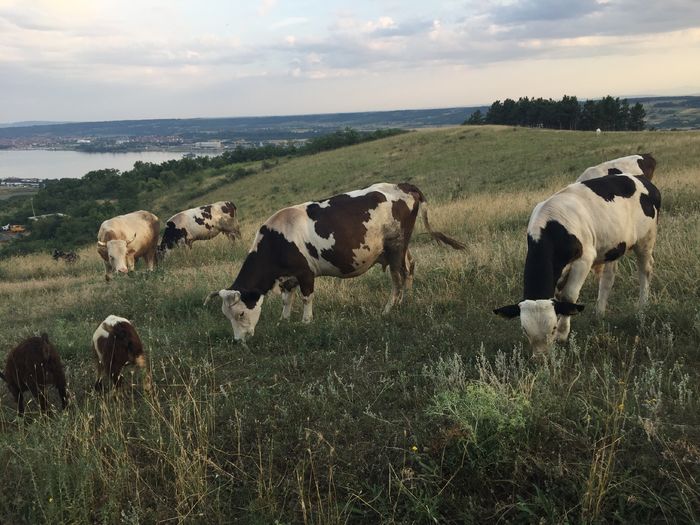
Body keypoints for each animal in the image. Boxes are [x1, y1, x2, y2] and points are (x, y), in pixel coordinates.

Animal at [202, 182, 464, 342]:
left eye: (240, 314)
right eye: (227, 316)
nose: (239, 340)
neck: (276, 241)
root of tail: (403, 185)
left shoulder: (305, 273)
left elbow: (306, 297)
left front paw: (306, 321)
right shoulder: (287, 277)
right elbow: (287, 299)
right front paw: (283, 320)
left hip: (396, 247)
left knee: (398, 277)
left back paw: (391, 308)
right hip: (399, 249)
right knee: (409, 268)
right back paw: (404, 302)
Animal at [492, 174, 660, 354]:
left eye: (552, 328)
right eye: (525, 330)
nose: (542, 356)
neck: (550, 229)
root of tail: (640, 178)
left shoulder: (584, 259)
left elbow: (569, 296)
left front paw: (562, 333)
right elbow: (560, 298)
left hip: (646, 239)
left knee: (645, 270)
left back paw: (642, 307)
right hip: (612, 247)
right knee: (608, 277)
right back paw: (599, 313)